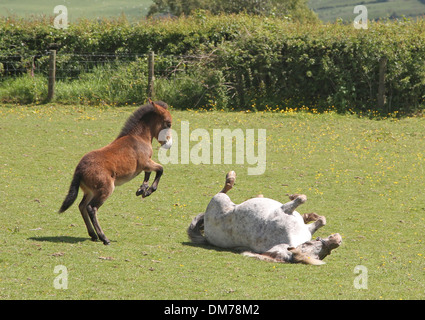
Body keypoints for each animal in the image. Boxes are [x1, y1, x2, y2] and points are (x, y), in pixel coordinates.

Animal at [58, 100, 172, 245]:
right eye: (168, 123)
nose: (169, 144)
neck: (138, 137)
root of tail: (79, 169)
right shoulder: (146, 163)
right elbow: (160, 170)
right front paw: (148, 191)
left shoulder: (146, 165)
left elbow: (149, 173)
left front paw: (142, 189)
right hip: (105, 190)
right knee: (91, 208)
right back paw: (104, 237)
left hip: (90, 192)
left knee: (82, 206)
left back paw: (93, 235)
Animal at [188, 172, 342, 264]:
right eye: (308, 244)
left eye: (324, 254)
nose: (337, 240)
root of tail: (207, 236)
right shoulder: (290, 213)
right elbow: (313, 210)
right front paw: (302, 205)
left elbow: (311, 208)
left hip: (219, 201)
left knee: (225, 190)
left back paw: (231, 178)